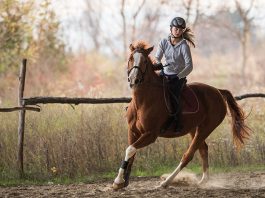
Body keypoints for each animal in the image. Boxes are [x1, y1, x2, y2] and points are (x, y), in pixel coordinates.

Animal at [112, 40, 250, 190]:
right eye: (131, 58)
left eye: (144, 61)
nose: (134, 79)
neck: (142, 101)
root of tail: (218, 91)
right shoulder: (133, 131)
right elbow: (131, 152)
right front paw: (123, 181)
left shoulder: (150, 134)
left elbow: (130, 149)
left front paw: (118, 181)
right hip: (194, 129)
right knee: (203, 149)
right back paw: (203, 180)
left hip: (206, 128)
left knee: (188, 155)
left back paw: (166, 182)